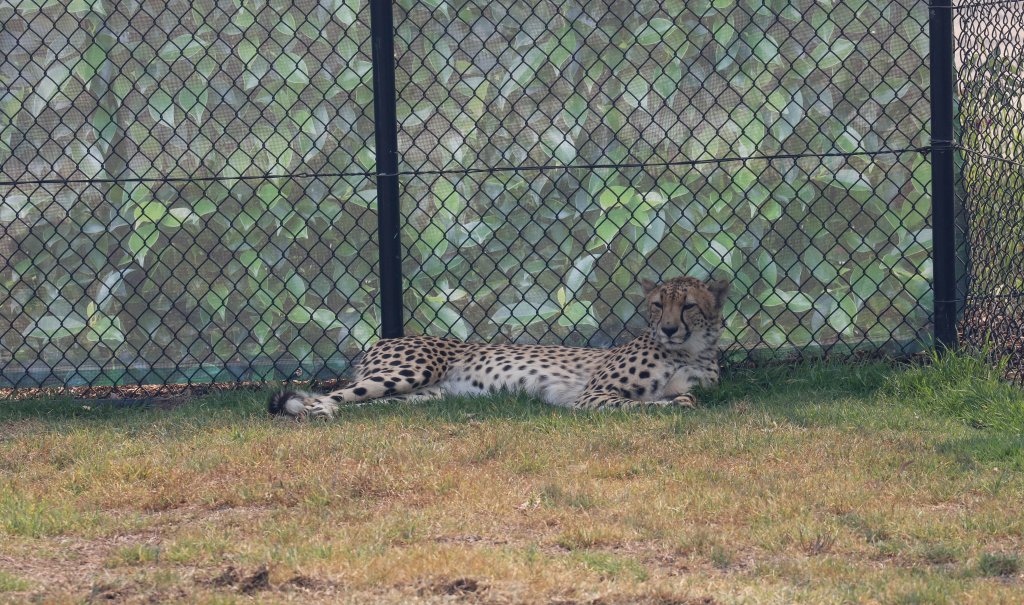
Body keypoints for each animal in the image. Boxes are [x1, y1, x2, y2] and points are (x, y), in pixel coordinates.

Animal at [268, 275, 729, 419]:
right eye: (658, 304)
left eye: (688, 305)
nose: (668, 329)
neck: (687, 350)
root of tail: (383, 338)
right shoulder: (592, 395)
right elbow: (647, 403)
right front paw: (670, 403)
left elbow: (684, 395)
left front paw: (677, 399)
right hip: (412, 371)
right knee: (328, 397)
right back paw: (313, 410)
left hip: (423, 395)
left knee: (361, 401)